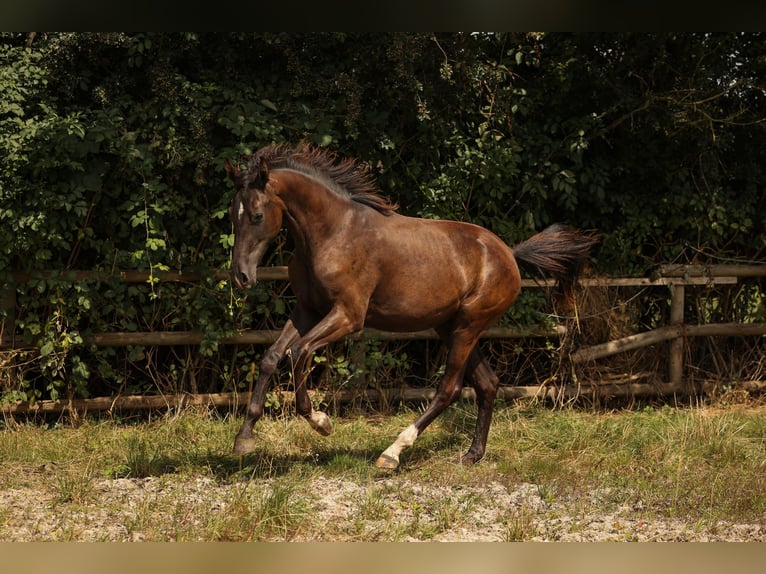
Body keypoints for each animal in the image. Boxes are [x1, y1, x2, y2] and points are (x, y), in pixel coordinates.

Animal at [225, 144, 596, 472]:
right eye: (233, 216)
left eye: (257, 215)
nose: (241, 276)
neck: (333, 233)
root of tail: (510, 254)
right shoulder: (307, 310)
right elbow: (272, 356)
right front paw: (244, 439)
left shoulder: (348, 314)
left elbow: (299, 352)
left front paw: (321, 422)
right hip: (452, 327)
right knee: (488, 384)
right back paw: (471, 455)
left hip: (468, 326)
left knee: (449, 390)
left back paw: (392, 454)